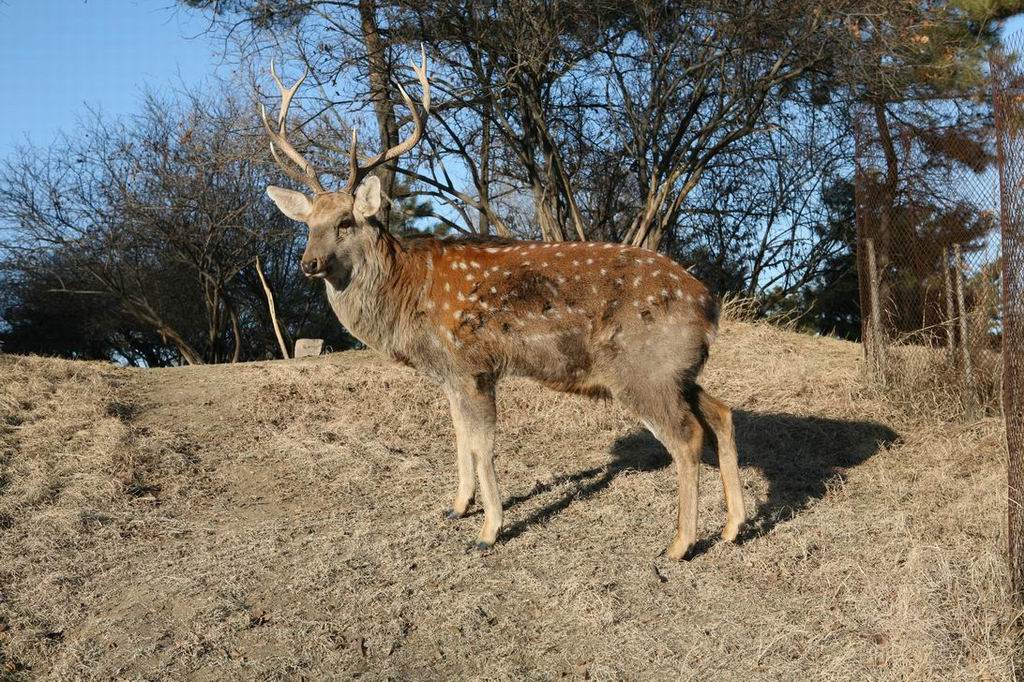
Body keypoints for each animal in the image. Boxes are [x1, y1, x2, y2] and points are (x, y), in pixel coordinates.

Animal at [260, 51, 749, 557]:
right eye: (308, 224)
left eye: (345, 222)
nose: (309, 263)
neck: (408, 292)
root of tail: (710, 305)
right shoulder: (450, 375)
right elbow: (459, 437)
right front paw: (457, 506)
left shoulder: (473, 364)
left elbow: (483, 445)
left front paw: (489, 530)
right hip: (676, 369)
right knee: (721, 413)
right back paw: (732, 527)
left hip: (641, 369)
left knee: (688, 436)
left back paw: (679, 544)